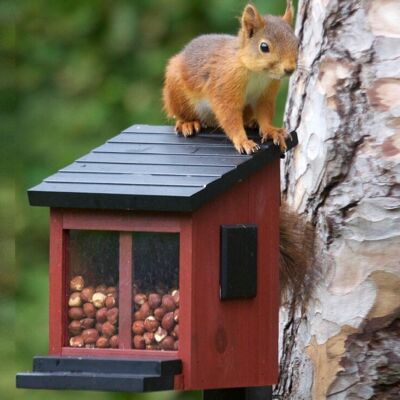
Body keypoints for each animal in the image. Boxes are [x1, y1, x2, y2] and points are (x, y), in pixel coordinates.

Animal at [162, 1, 296, 155]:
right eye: (264, 47)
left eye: (297, 42)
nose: (290, 69)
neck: (257, 73)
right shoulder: (225, 84)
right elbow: (229, 116)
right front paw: (243, 141)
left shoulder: (265, 94)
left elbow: (264, 113)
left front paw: (272, 131)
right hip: (177, 94)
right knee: (181, 115)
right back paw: (188, 123)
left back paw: (252, 122)